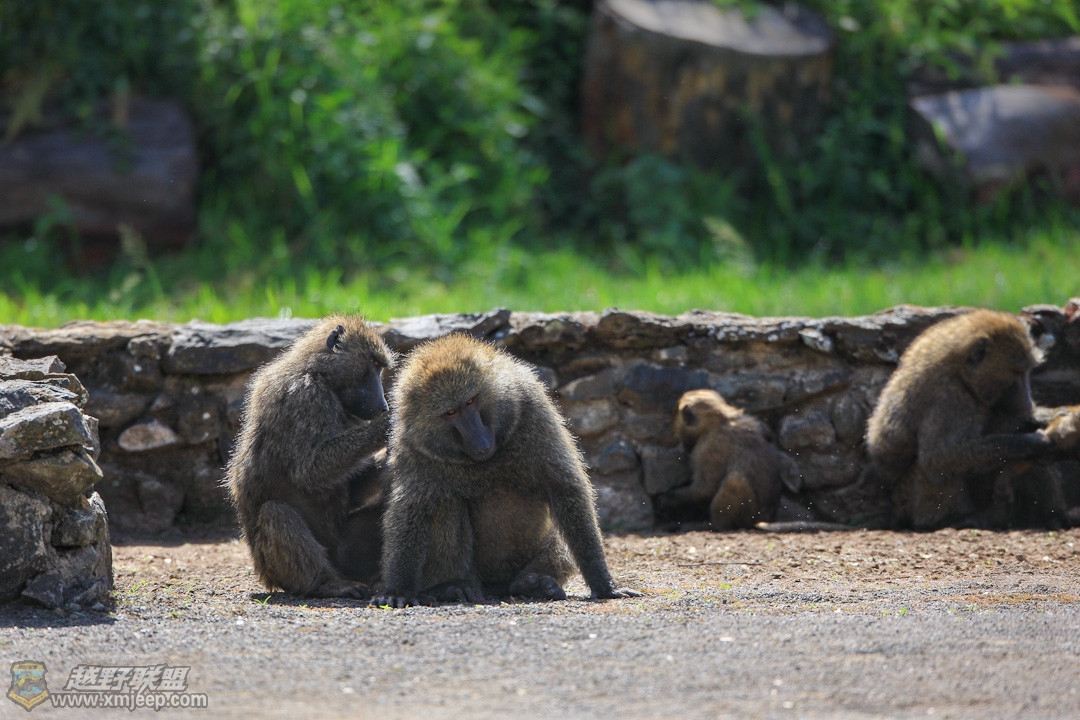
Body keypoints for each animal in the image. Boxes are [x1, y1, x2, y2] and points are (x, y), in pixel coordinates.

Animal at [225, 315, 395, 598]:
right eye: (373, 365)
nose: (383, 406)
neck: (320, 375)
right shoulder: (305, 398)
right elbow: (309, 472)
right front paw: (386, 426)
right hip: (278, 568)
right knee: (276, 513)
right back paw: (327, 583)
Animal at [372, 333, 640, 607]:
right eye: (451, 412)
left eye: (470, 401)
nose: (480, 442)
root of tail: (497, 586)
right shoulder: (410, 442)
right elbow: (411, 507)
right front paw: (399, 589)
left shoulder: (532, 406)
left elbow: (564, 486)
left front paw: (604, 584)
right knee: (445, 502)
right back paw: (452, 586)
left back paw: (534, 582)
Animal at [652, 389, 785, 530]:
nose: (684, 444)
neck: (720, 421)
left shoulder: (707, 448)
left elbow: (704, 489)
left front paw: (668, 499)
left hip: (750, 515)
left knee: (735, 481)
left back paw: (715, 525)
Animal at [865, 309, 1055, 530]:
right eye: (1017, 372)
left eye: (1027, 371)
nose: (1027, 401)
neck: (961, 373)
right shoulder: (950, 398)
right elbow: (941, 457)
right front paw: (1031, 442)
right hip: (906, 499)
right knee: (932, 466)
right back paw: (947, 520)